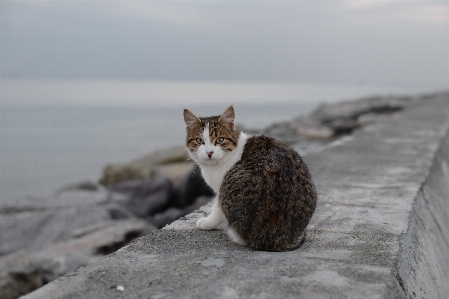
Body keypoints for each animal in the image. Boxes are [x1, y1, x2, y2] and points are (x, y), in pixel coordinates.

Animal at [182, 106, 316, 252]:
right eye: (200, 141)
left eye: (220, 140)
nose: (209, 153)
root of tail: (275, 239)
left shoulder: (221, 190)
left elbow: (217, 210)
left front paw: (208, 222)